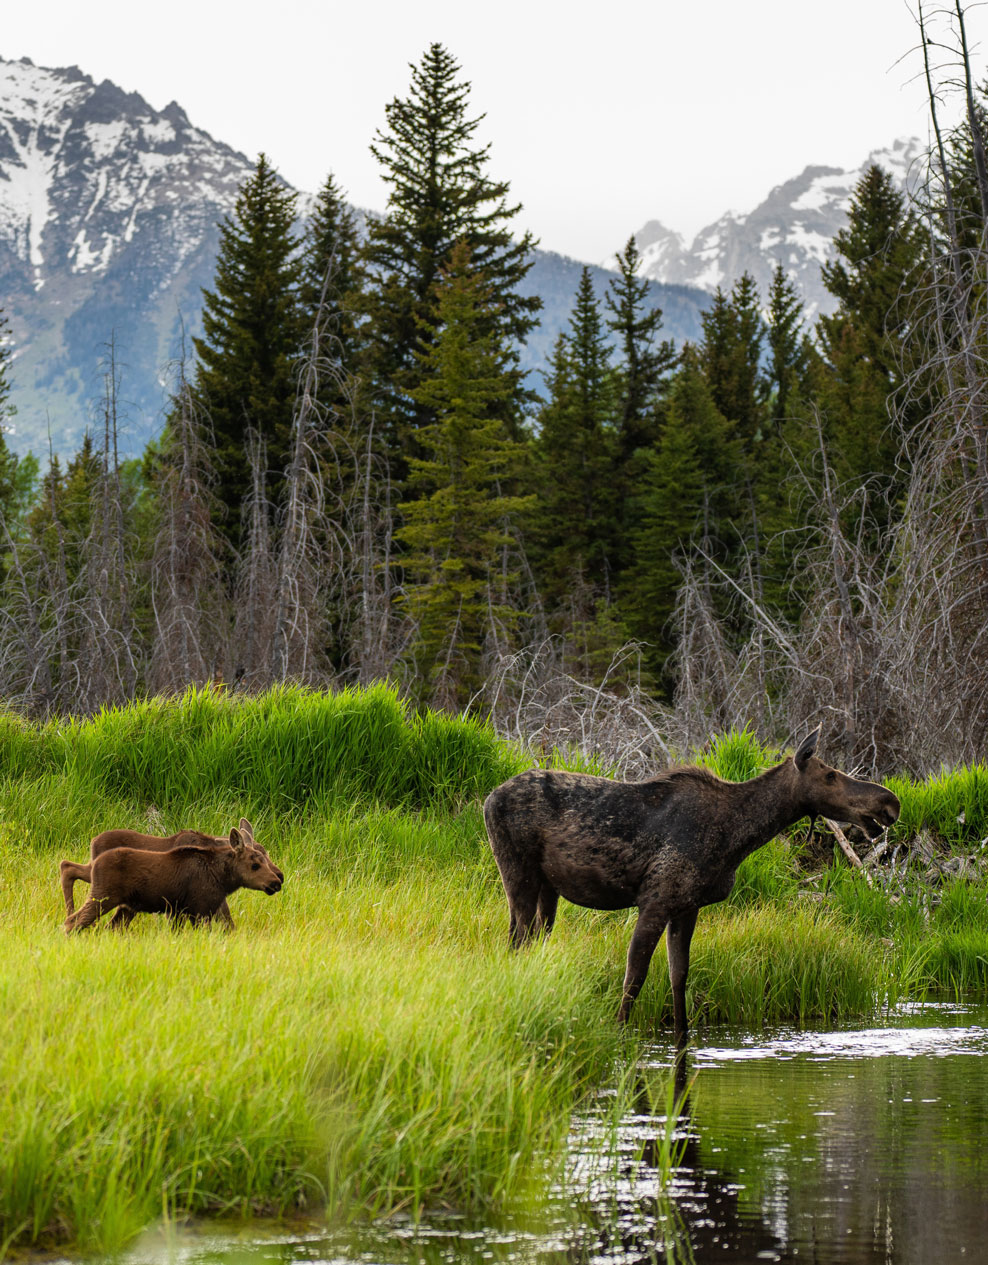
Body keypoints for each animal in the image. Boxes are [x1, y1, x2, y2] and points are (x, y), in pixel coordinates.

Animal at [60, 819, 280, 931]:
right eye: (256, 862)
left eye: (267, 852)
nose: (279, 878)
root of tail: (94, 839)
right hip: (103, 890)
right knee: (68, 870)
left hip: (120, 901)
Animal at [480, 733, 895, 1037]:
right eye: (830, 775)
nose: (889, 802)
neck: (736, 838)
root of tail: (487, 798)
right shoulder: (657, 899)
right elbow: (635, 976)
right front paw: (619, 1031)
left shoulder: (687, 906)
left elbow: (678, 977)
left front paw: (682, 1035)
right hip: (517, 873)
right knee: (515, 940)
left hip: (547, 890)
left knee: (532, 942)